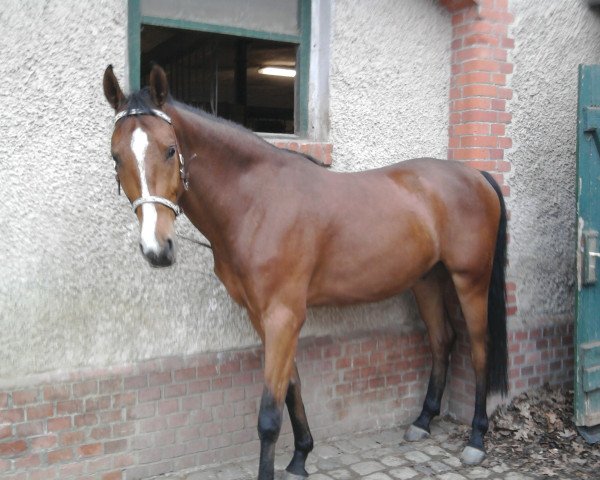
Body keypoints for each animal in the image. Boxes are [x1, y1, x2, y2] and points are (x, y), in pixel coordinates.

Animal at [102, 64, 506, 480]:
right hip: (427, 281)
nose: (157, 248)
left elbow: (269, 414)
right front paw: (300, 458)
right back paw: (423, 420)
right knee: (442, 340)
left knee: (479, 349)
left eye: (170, 149)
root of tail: (477, 175)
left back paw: (476, 439)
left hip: (470, 281)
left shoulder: (283, 316)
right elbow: (291, 387)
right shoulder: (264, 316)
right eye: (116, 157)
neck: (257, 202)